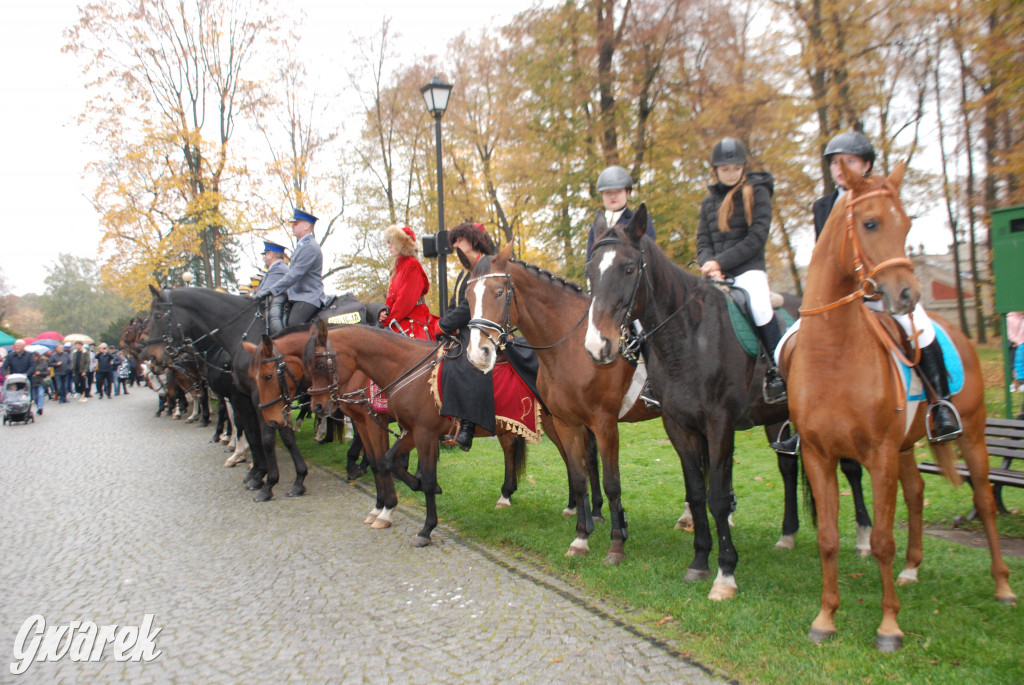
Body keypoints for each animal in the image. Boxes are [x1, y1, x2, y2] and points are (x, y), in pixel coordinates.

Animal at [303, 317, 561, 548]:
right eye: (307, 366)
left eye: (321, 365)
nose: (317, 406)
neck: (407, 368)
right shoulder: (409, 431)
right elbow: (388, 462)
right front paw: (400, 497)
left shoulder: (420, 433)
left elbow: (422, 478)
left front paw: (425, 528)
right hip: (506, 425)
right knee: (510, 449)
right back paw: (506, 496)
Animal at [581, 204, 794, 597]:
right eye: (591, 271)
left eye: (629, 268)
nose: (597, 346)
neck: (690, 338)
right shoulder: (678, 425)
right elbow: (697, 493)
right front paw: (699, 562)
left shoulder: (720, 423)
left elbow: (718, 496)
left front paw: (725, 573)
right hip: (776, 418)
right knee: (790, 469)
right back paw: (789, 535)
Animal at [782, 157, 1015, 651]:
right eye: (870, 223)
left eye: (907, 223)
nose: (908, 295)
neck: (833, 354)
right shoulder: (818, 454)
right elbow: (828, 537)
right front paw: (825, 618)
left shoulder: (879, 453)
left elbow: (882, 539)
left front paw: (889, 626)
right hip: (907, 448)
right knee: (918, 491)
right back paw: (911, 569)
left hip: (972, 436)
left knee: (985, 502)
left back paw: (1003, 585)